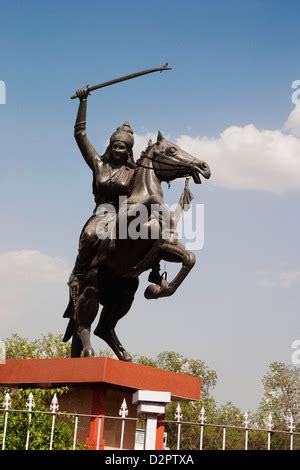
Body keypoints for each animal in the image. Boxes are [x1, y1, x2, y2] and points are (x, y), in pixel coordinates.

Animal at [63, 131, 210, 360]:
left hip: (125, 293)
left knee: (103, 327)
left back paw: (124, 355)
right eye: (172, 150)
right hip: (91, 284)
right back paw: (89, 353)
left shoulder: (162, 249)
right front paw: (156, 288)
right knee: (84, 322)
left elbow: (189, 259)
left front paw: (157, 288)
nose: (204, 166)